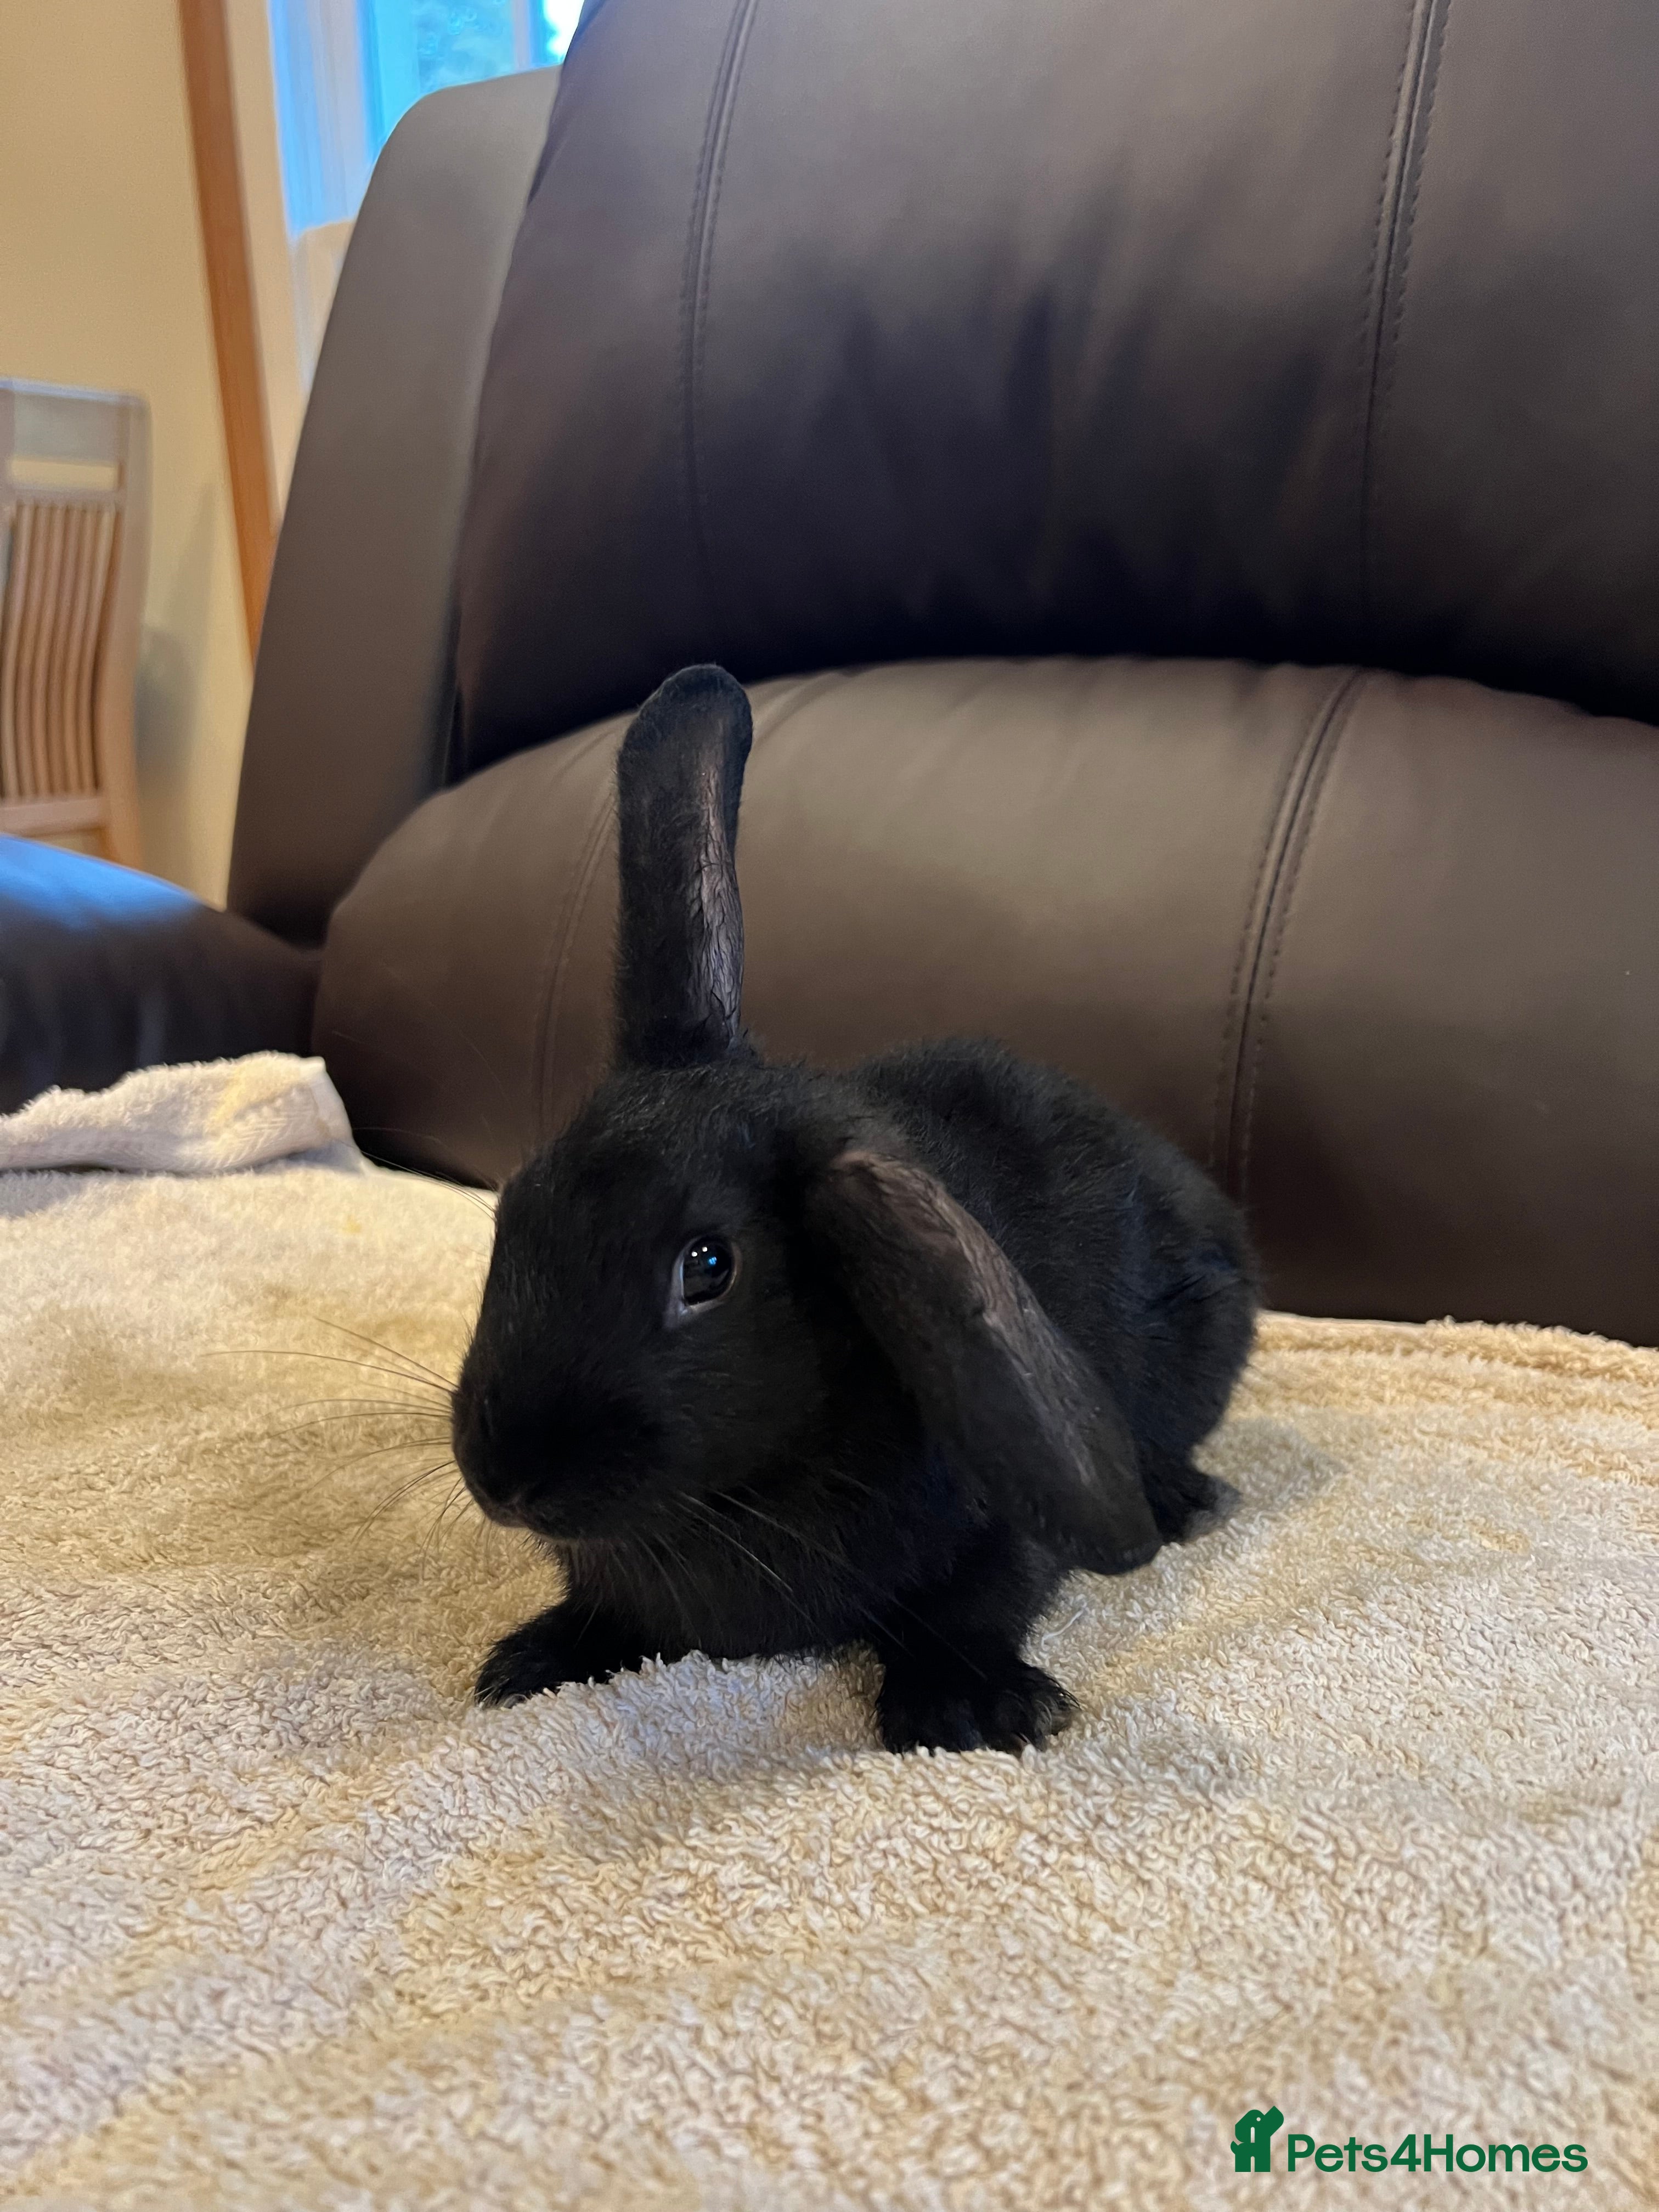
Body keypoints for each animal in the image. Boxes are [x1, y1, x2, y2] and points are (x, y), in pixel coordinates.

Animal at [451, 664, 1259, 1754]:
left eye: (708, 1266)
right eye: (513, 1209)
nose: (506, 1480)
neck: (724, 1503)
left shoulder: (1004, 1521)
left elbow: (981, 1598)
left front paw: (964, 1708)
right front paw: (532, 1658)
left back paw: (1177, 1499)